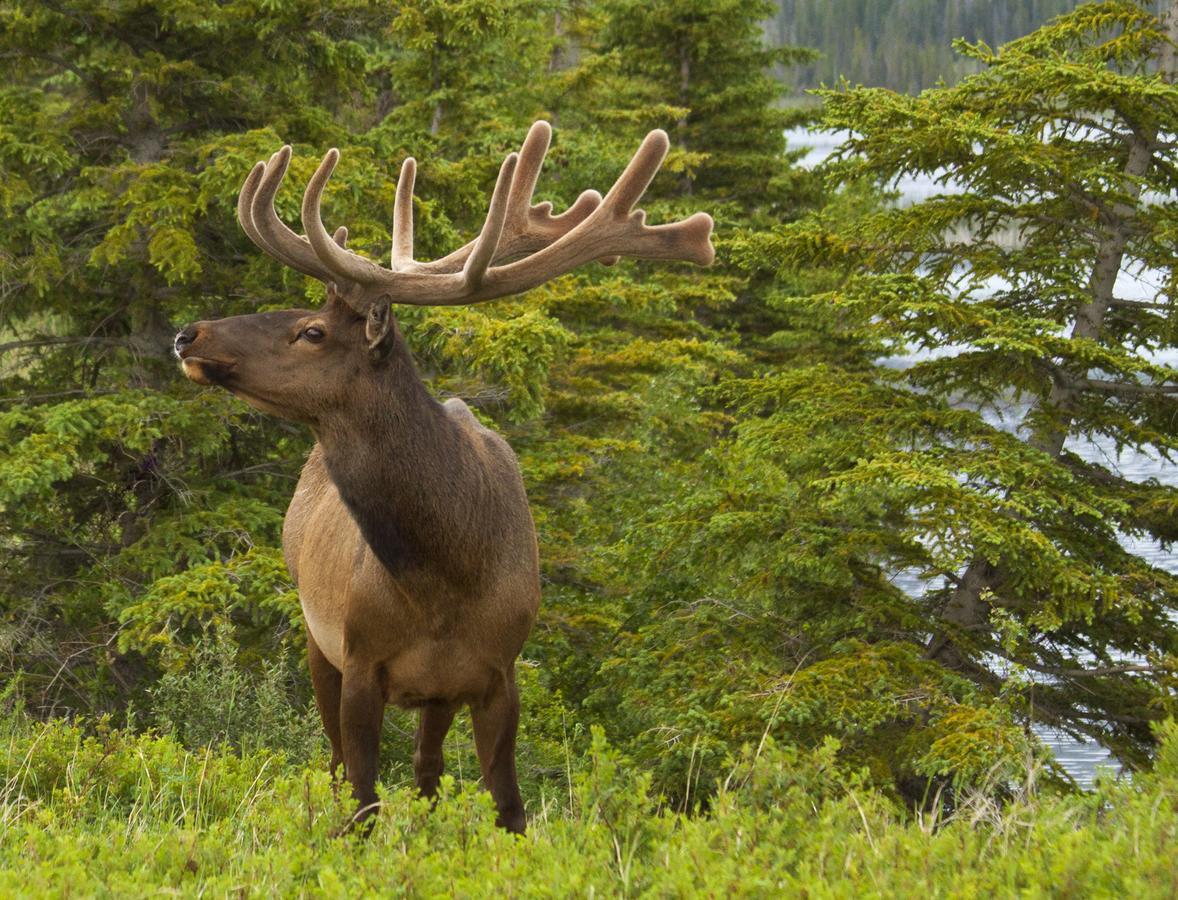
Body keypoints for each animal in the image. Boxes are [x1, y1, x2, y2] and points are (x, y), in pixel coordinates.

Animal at [171, 123, 711, 834]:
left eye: (311, 331)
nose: (188, 333)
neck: (445, 577)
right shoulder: (360, 658)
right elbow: (363, 800)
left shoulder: (497, 674)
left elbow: (508, 807)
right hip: (317, 640)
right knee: (338, 766)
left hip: (430, 693)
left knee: (426, 772)